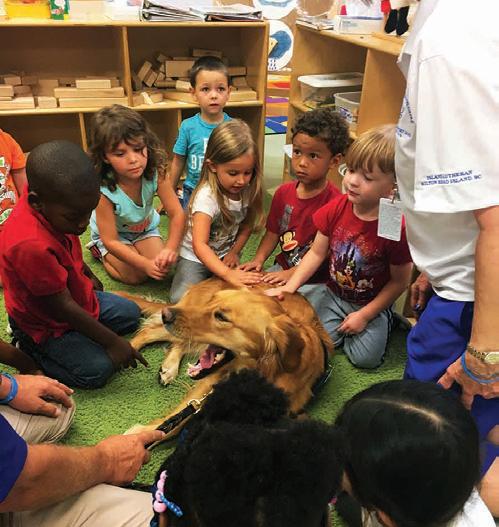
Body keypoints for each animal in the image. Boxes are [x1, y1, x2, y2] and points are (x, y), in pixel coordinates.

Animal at [120, 277, 333, 435]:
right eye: (212, 301)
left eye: (222, 317)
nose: (167, 314)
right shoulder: (209, 383)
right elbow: (177, 420)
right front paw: (142, 435)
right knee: (149, 332)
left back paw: (168, 367)